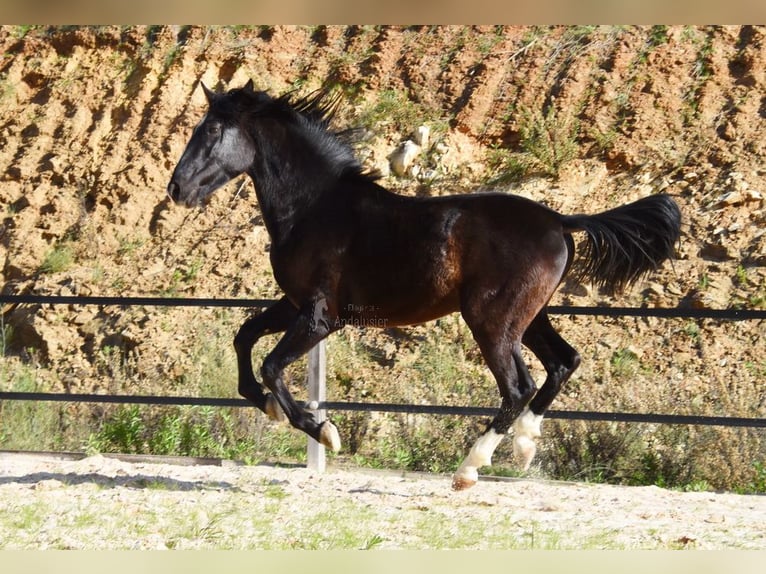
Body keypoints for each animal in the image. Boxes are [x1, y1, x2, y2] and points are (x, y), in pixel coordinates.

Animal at [170, 80, 684, 490]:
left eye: (211, 131)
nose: (176, 189)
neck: (314, 208)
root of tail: (559, 220)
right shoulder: (292, 304)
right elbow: (244, 340)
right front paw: (272, 409)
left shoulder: (321, 317)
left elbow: (272, 365)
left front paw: (322, 430)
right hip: (529, 317)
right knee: (561, 363)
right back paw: (524, 445)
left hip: (491, 321)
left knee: (519, 386)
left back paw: (470, 468)